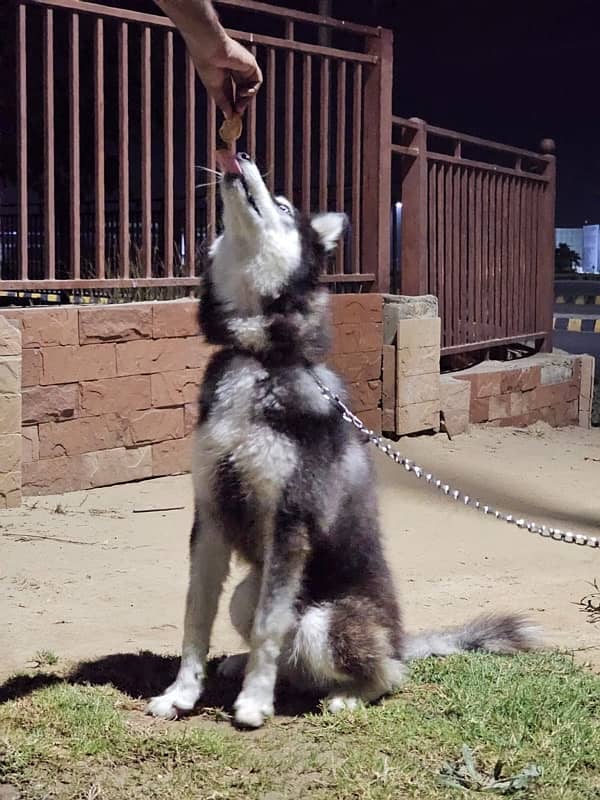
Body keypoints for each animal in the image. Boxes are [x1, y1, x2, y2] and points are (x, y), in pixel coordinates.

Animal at [146, 153, 540, 728]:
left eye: (284, 204)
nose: (238, 157)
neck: (259, 358)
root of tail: (400, 639)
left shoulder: (290, 522)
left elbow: (268, 626)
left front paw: (253, 704)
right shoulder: (210, 512)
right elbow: (195, 617)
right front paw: (180, 694)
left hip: (323, 620)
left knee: (383, 671)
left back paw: (347, 693)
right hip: (250, 588)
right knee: (279, 644)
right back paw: (248, 668)